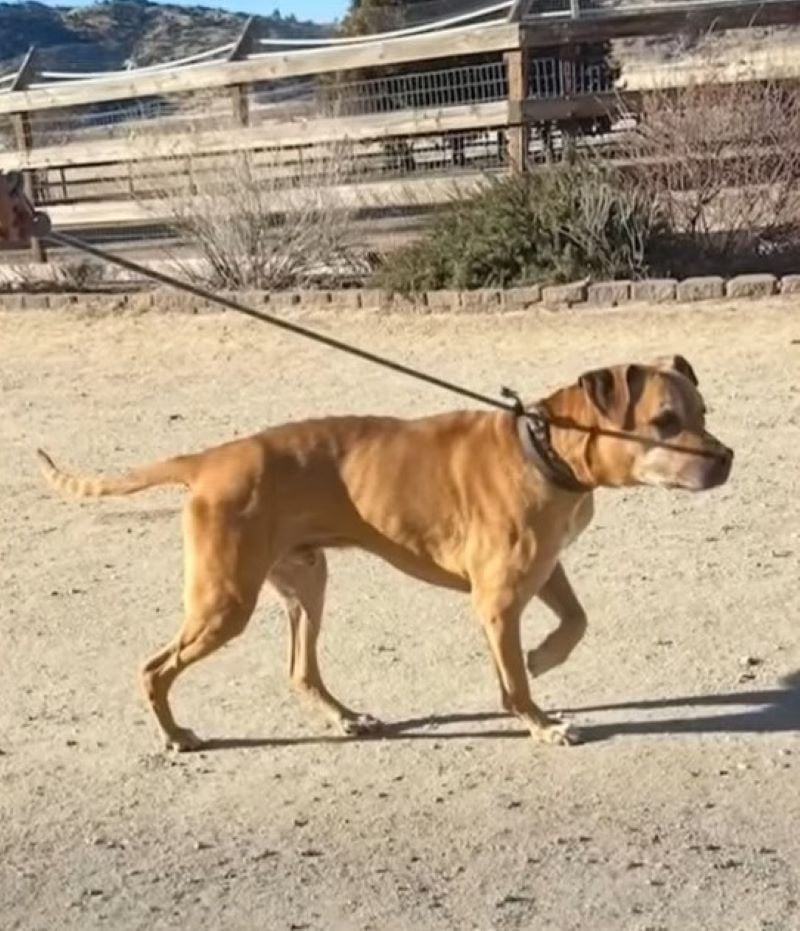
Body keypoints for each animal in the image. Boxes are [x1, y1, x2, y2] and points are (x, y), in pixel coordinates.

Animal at [40, 354, 736, 748]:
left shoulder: (545, 568)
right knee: (154, 669)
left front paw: (541, 656)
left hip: (306, 584)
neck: (547, 448)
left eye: (704, 409)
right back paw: (178, 735)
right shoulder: (498, 600)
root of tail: (209, 459)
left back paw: (344, 717)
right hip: (224, 603)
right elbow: (513, 683)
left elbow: (576, 622)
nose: (727, 457)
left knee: (301, 670)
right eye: (665, 421)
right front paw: (539, 721)